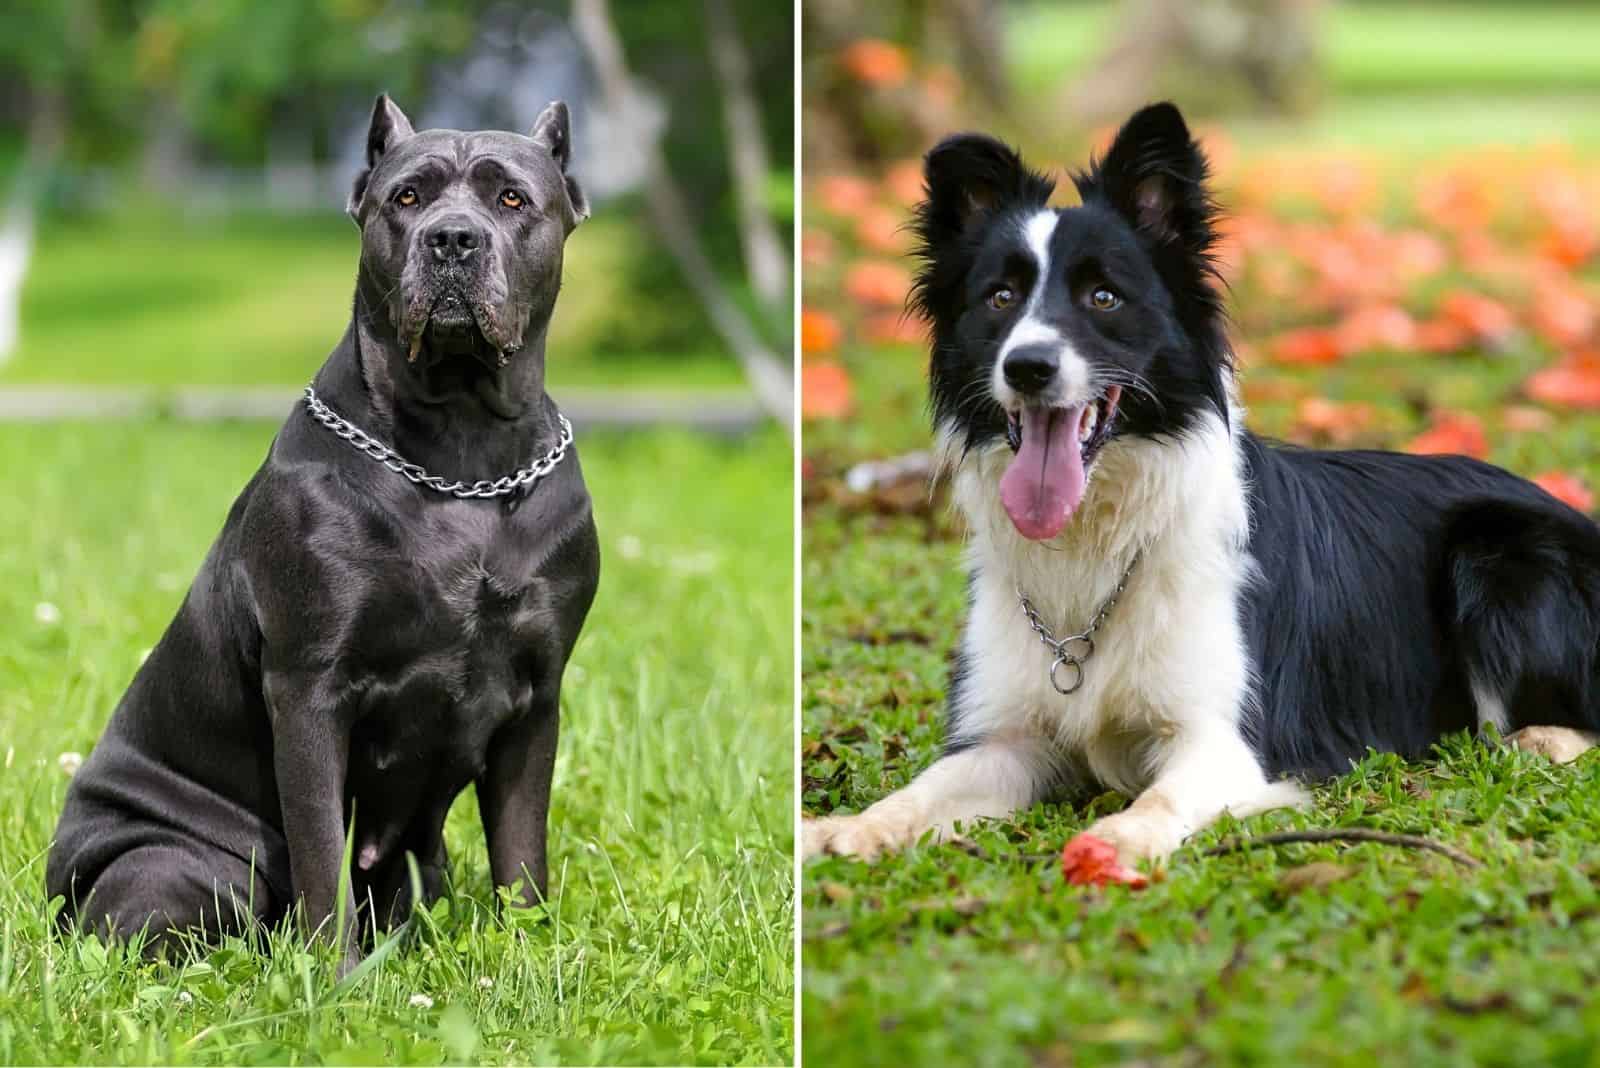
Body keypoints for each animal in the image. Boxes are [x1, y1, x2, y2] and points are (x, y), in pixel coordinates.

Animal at [51, 99, 601, 965]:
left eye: (512, 199)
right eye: (407, 197)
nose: (453, 239)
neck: (463, 451)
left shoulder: (535, 701)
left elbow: (522, 856)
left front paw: (530, 956)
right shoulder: (309, 690)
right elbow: (319, 858)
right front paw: (331, 978)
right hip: (180, 864)